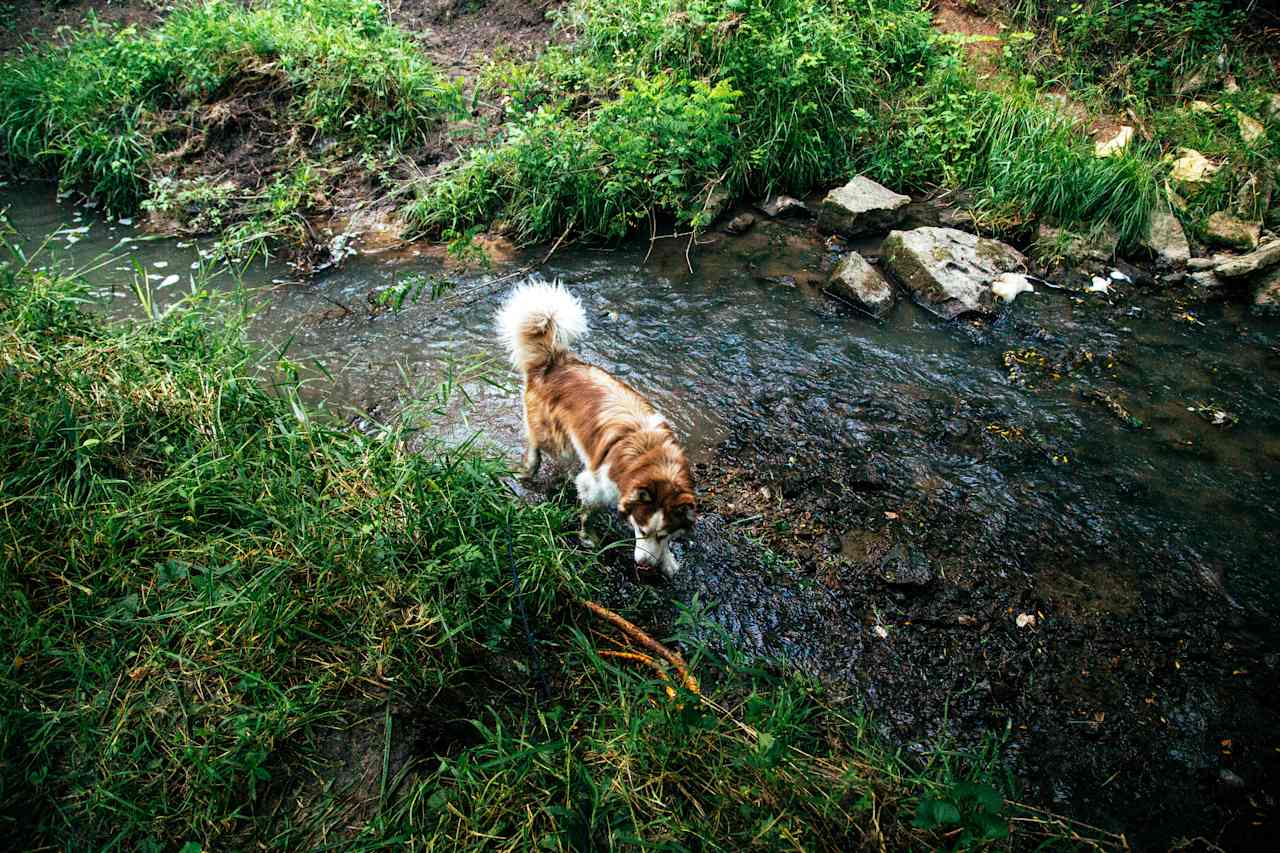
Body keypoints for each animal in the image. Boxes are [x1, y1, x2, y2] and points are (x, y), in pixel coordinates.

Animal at [499, 280, 701, 578]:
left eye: (664, 535)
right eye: (640, 530)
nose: (645, 565)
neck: (651, 455)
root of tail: (555, 362)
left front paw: (667, 561)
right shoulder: (595, 485)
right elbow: (588, 512)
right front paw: (588, 538)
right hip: (554, 439)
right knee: (535, 446)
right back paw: (528, 469)